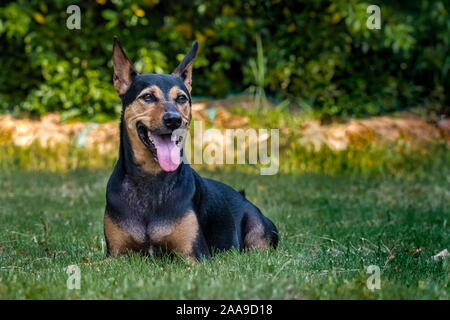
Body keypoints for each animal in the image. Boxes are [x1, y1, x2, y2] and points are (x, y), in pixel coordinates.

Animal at [103, 38, 278, 262]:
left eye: (181, 99)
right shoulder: (114, 256)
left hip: (258, 231)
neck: (151, 179)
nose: (173, 120)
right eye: (148, 97)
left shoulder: (193, 255)